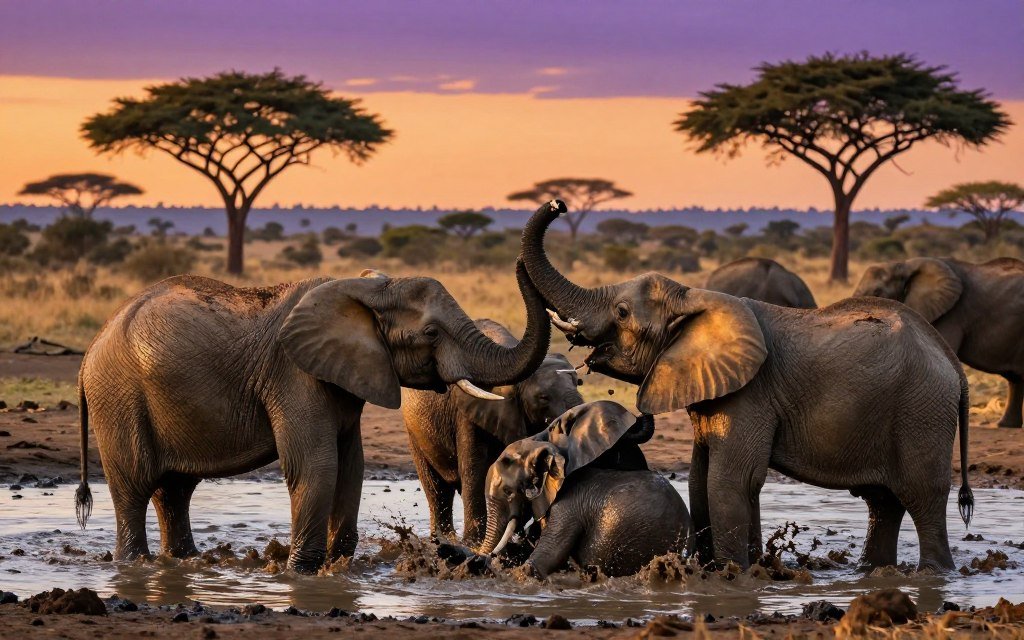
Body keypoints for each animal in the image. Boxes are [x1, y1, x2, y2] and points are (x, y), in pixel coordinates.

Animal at [75, 259, 551, 573]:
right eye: (431, 333)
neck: (363, 291)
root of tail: (88, 352)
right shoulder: (293, 374)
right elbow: (317, 466)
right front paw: (302, 572)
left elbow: (352, 466)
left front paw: (338, 568)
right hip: (119, 398)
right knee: (135, 487)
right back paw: (134, 565)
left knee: (174, 491)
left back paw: (184, 563)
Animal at [401, 318, 583, 545]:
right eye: (543, 398)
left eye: (578, 383)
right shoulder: (469, 414)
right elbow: (475, 472)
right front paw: (473, 544)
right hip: (414, 431)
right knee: (436, 488)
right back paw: (442, 541)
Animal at [520, 201, 973, 572]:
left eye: (622, 311)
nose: (559, 203)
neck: (691, 298)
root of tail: (951, 363)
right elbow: (701, 479)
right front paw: (738, 569)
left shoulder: (750, 393)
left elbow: (729, 480)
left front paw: (730, 576)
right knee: (882, 502)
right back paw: (873, 571)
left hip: (922, 410)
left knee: (921, 496)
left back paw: (935, 574)